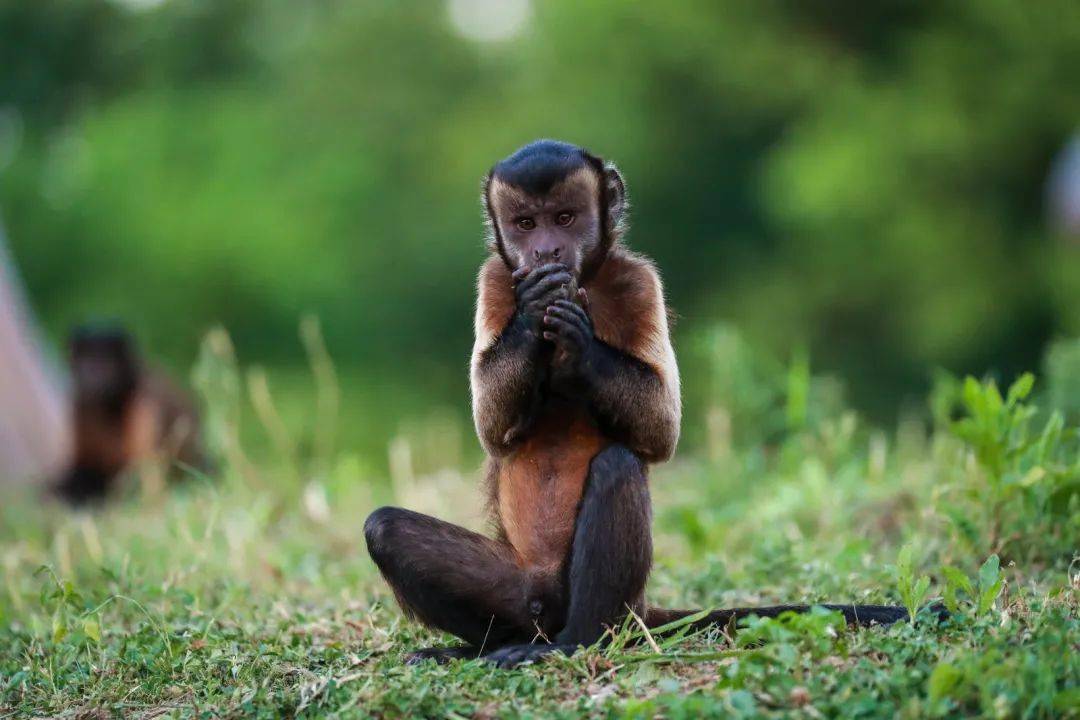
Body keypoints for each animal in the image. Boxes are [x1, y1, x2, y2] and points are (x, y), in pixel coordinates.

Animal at [55, 323, 204, 505]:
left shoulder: (147, 400)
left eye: (105, 365)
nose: (93, 376)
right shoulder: (81, 404)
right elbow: (82, 466)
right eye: (87, 362)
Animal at [362, 140, 911, 669]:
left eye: (565, 217)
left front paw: (578, 347)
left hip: (618, 607)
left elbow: (660, 432)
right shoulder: (495, 277)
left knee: (617, 468)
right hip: (519, 588)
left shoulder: (639, 279)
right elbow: (491, 429)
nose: (545, 249)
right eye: (526, 224)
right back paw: (485, 646)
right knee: (385, 529)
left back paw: (574, 643)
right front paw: (534, 313)